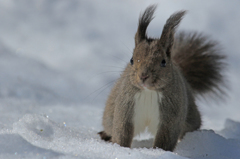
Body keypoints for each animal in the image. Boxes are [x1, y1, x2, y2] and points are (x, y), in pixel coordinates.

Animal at [97, 4, 225, 152]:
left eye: (163, 62)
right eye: (132, 60)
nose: (143, 76)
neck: (148, 92)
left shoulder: (171, 116)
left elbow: (165, 139)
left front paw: (158, 152)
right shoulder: (125, 107)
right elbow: (122, 132)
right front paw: (121, 149)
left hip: (190, 118)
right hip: (109, 115)